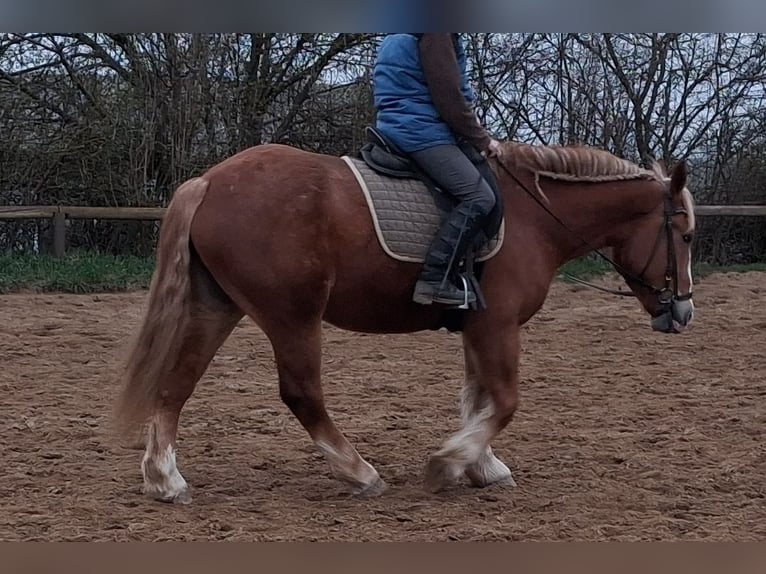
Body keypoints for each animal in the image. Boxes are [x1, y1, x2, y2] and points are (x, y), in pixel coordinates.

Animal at [113, 139, 696, 504]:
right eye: (687, 235)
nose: (684, 311)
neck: (535, 218)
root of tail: (209, 182)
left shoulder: (477, 327)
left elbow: (477, 398)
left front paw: (480, 466)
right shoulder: (498, 326)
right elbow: (504, 401)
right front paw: (449, 463)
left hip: (218, 306)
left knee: (177, 383)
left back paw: (164, 479)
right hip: (293, 315)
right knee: (302, 394)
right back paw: (360, 473)